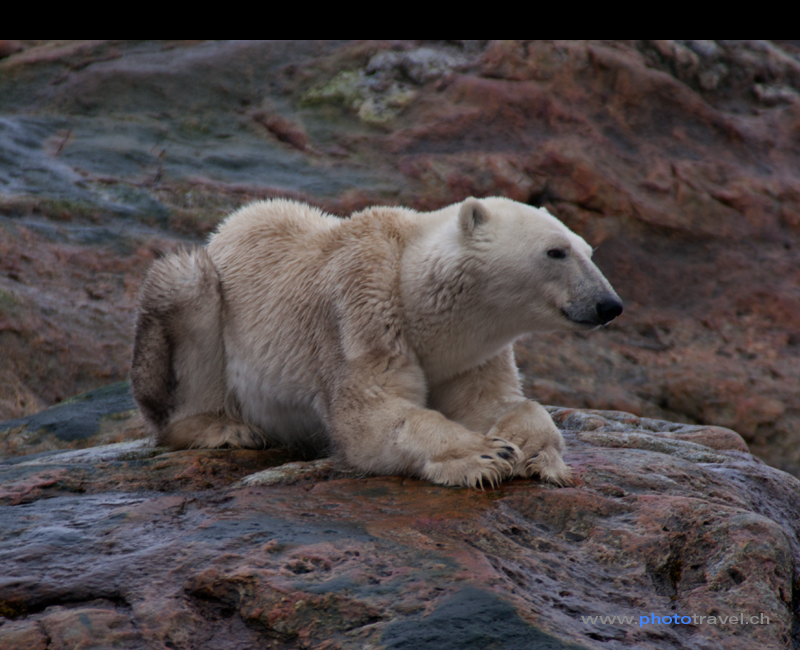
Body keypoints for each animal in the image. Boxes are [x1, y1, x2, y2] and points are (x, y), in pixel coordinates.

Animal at [131, 197, 620, 486]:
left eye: (588, 251)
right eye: (555, 251)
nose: (609, 305)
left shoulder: (470, 352)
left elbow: (491, 402)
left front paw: (537, 453)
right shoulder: (361, 310)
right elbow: (371, 418)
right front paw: (486, 454)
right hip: (201, 303)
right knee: (186, 292)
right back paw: (221, 427)